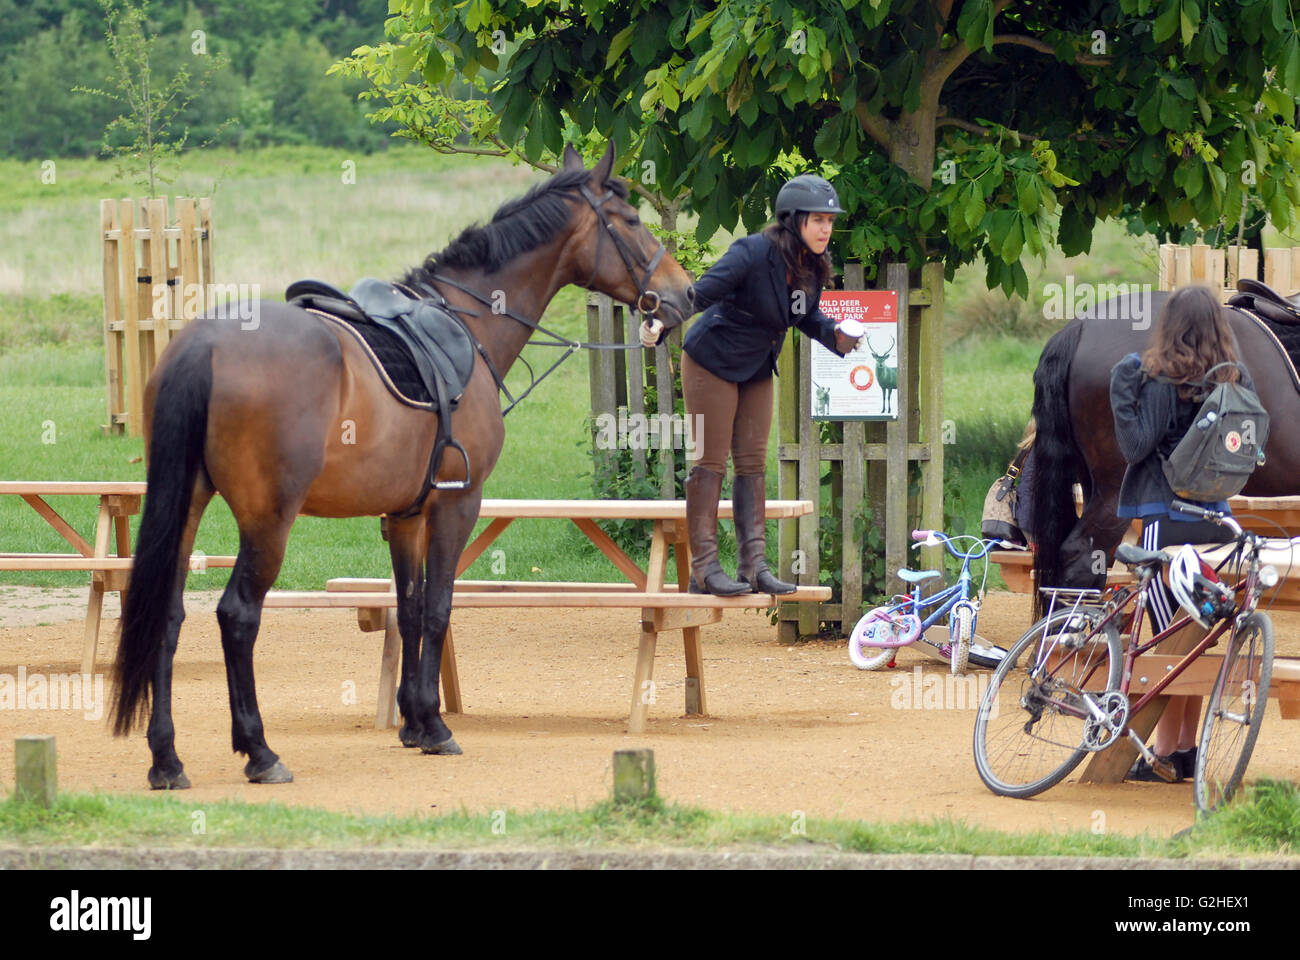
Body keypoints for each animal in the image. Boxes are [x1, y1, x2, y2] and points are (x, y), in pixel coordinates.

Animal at [111, 143, 696, 785]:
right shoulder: (456, 503)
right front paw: (436, 727)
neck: (468, 321)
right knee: (237, 616)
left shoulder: (405, 515)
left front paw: (414, 720)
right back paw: (259, 751)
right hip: (268, 522)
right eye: (632, 221)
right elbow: (438, 608)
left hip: (187, 504)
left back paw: (166, 757)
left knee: (167, 618)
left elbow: (411, 609)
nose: (687, 293)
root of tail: (203, 346)